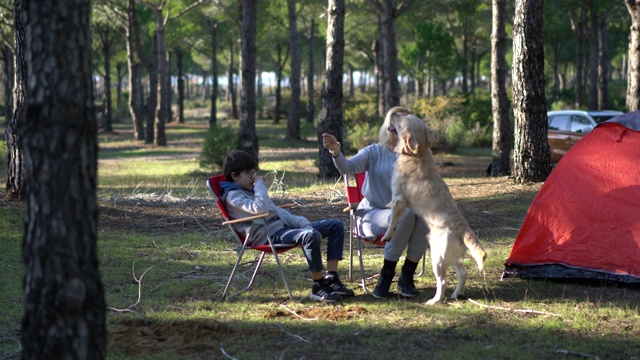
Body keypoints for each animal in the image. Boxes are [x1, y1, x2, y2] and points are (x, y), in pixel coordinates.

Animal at [380, 112, 484, 304]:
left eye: (402, 119)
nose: (395, 113)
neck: (417, 154)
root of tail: (463, 229)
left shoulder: (399, 198)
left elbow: (392, 220)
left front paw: (387, 235)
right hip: (452, 256)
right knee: (463, 273)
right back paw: (456, 294)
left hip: (437, 256)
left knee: (442, 281)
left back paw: (435, 300)